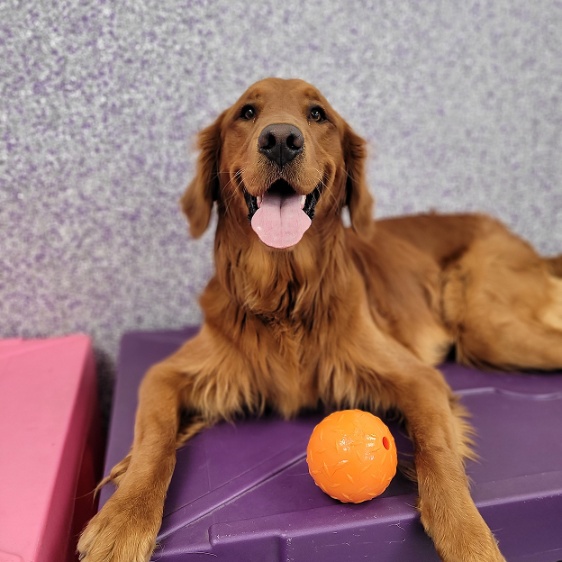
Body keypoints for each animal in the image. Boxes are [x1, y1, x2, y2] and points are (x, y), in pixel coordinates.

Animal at [79, 77, 562, 562]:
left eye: (317, 114)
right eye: (247, 112)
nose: (280, 139)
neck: (284, 295)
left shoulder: (419, 378)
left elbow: (438, 450)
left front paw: (468, 535)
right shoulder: (165, 375)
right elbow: (153, 442)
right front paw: (123, 518)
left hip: (487, 327)